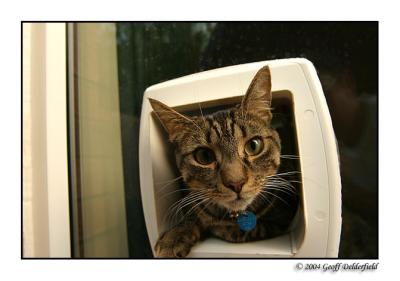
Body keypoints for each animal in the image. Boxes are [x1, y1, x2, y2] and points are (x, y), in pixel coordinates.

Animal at [148, 65, 298, 256]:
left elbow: (236, 231)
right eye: (204, 156)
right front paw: (174, 236)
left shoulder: (280, 217)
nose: (236, 183)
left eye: (254, 146)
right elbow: (195, 216)